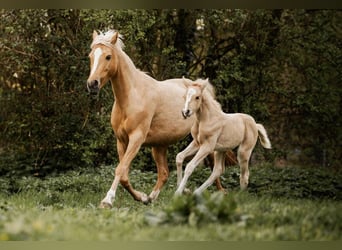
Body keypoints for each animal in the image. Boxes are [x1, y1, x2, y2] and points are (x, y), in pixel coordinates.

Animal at [86, 30, 230, 208]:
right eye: (91, 56)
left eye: (108, 56)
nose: (92, 84)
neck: (132, 97)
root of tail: (203, 88)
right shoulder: (121, 140)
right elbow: (124, 174)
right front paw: (142, 197)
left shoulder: (136, 139)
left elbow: (120, 170)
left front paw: (107, 200)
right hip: (160, 146)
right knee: (164, 173)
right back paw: (157, 196)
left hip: (203, 140)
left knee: (212, 166)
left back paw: (218, 193)